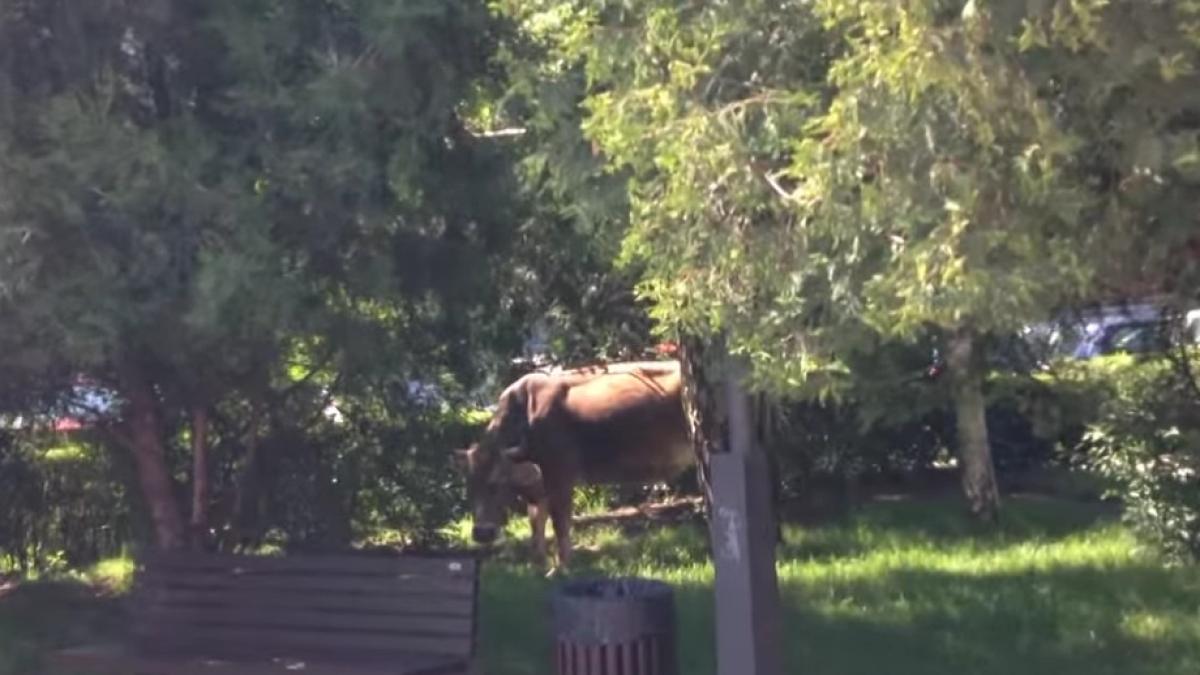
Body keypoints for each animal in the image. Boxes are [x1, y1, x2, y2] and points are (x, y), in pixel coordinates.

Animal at [453, 360, 692, 573]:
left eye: (495, 484)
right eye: (469, 487)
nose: (481, 533)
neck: (526, 416)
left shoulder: (560, 477)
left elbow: (560, 524)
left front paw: (561, 568)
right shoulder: (538, 490)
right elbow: (536, 524)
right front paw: (538, 565)